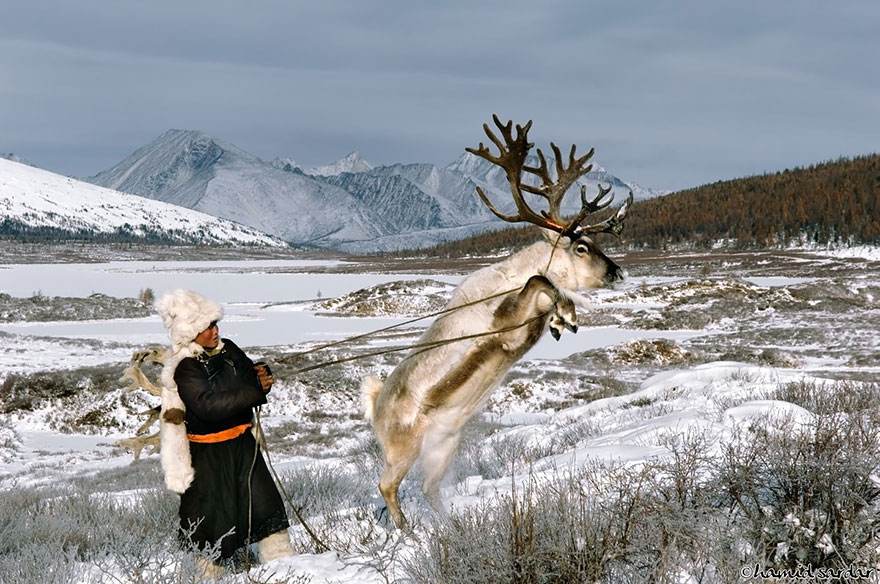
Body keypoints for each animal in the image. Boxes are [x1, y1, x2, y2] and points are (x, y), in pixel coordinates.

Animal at [361, 115, 633, 530]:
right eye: (582, 247)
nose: (618, 272)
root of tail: (375, 407)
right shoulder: (506, 326)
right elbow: (540, 281)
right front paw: (566, 314)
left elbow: (547, 295)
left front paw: (561, 319)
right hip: (403, 449)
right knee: (386, 486)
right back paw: (409, 533)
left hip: (443, 448)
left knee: (428, 489)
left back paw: (449, 528)